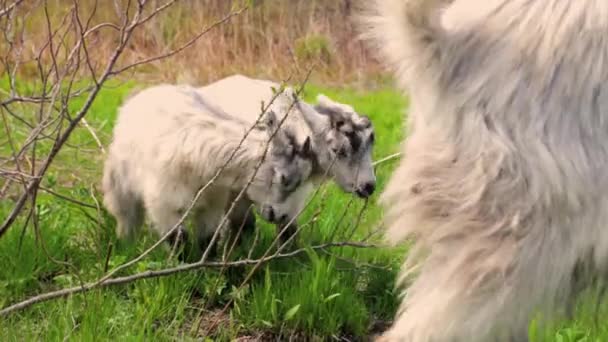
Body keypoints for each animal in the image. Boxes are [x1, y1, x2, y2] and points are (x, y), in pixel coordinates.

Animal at [101, 83, 314, 254]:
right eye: (283, 178)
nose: (281, 215)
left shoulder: (213, 203)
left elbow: (208, 240)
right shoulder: (165, 204)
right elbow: (178, 240)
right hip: (119, 184)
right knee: (127, 217)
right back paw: (126, 247)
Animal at [197, 75, 376, 240]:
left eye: (370, 146)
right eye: (337, 150)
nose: (369, 186)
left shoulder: (293, 196)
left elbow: (288, 230)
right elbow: (241, 225)